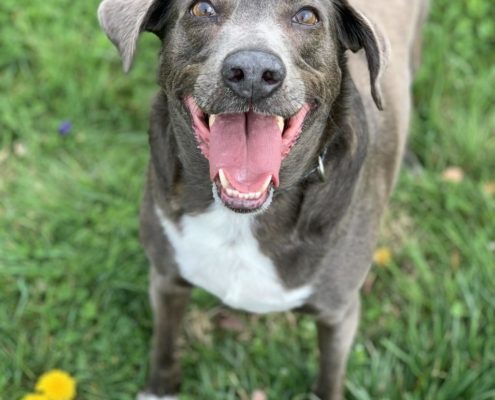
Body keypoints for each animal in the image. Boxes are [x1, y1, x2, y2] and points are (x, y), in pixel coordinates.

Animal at [98, 0, 430, 398]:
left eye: (307, 16)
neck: (240, 217)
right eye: (202, 9)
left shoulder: (339, 314)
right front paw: (159, 388)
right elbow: (164, 343)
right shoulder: (166, 277)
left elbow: (329, 377)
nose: (254, 72)